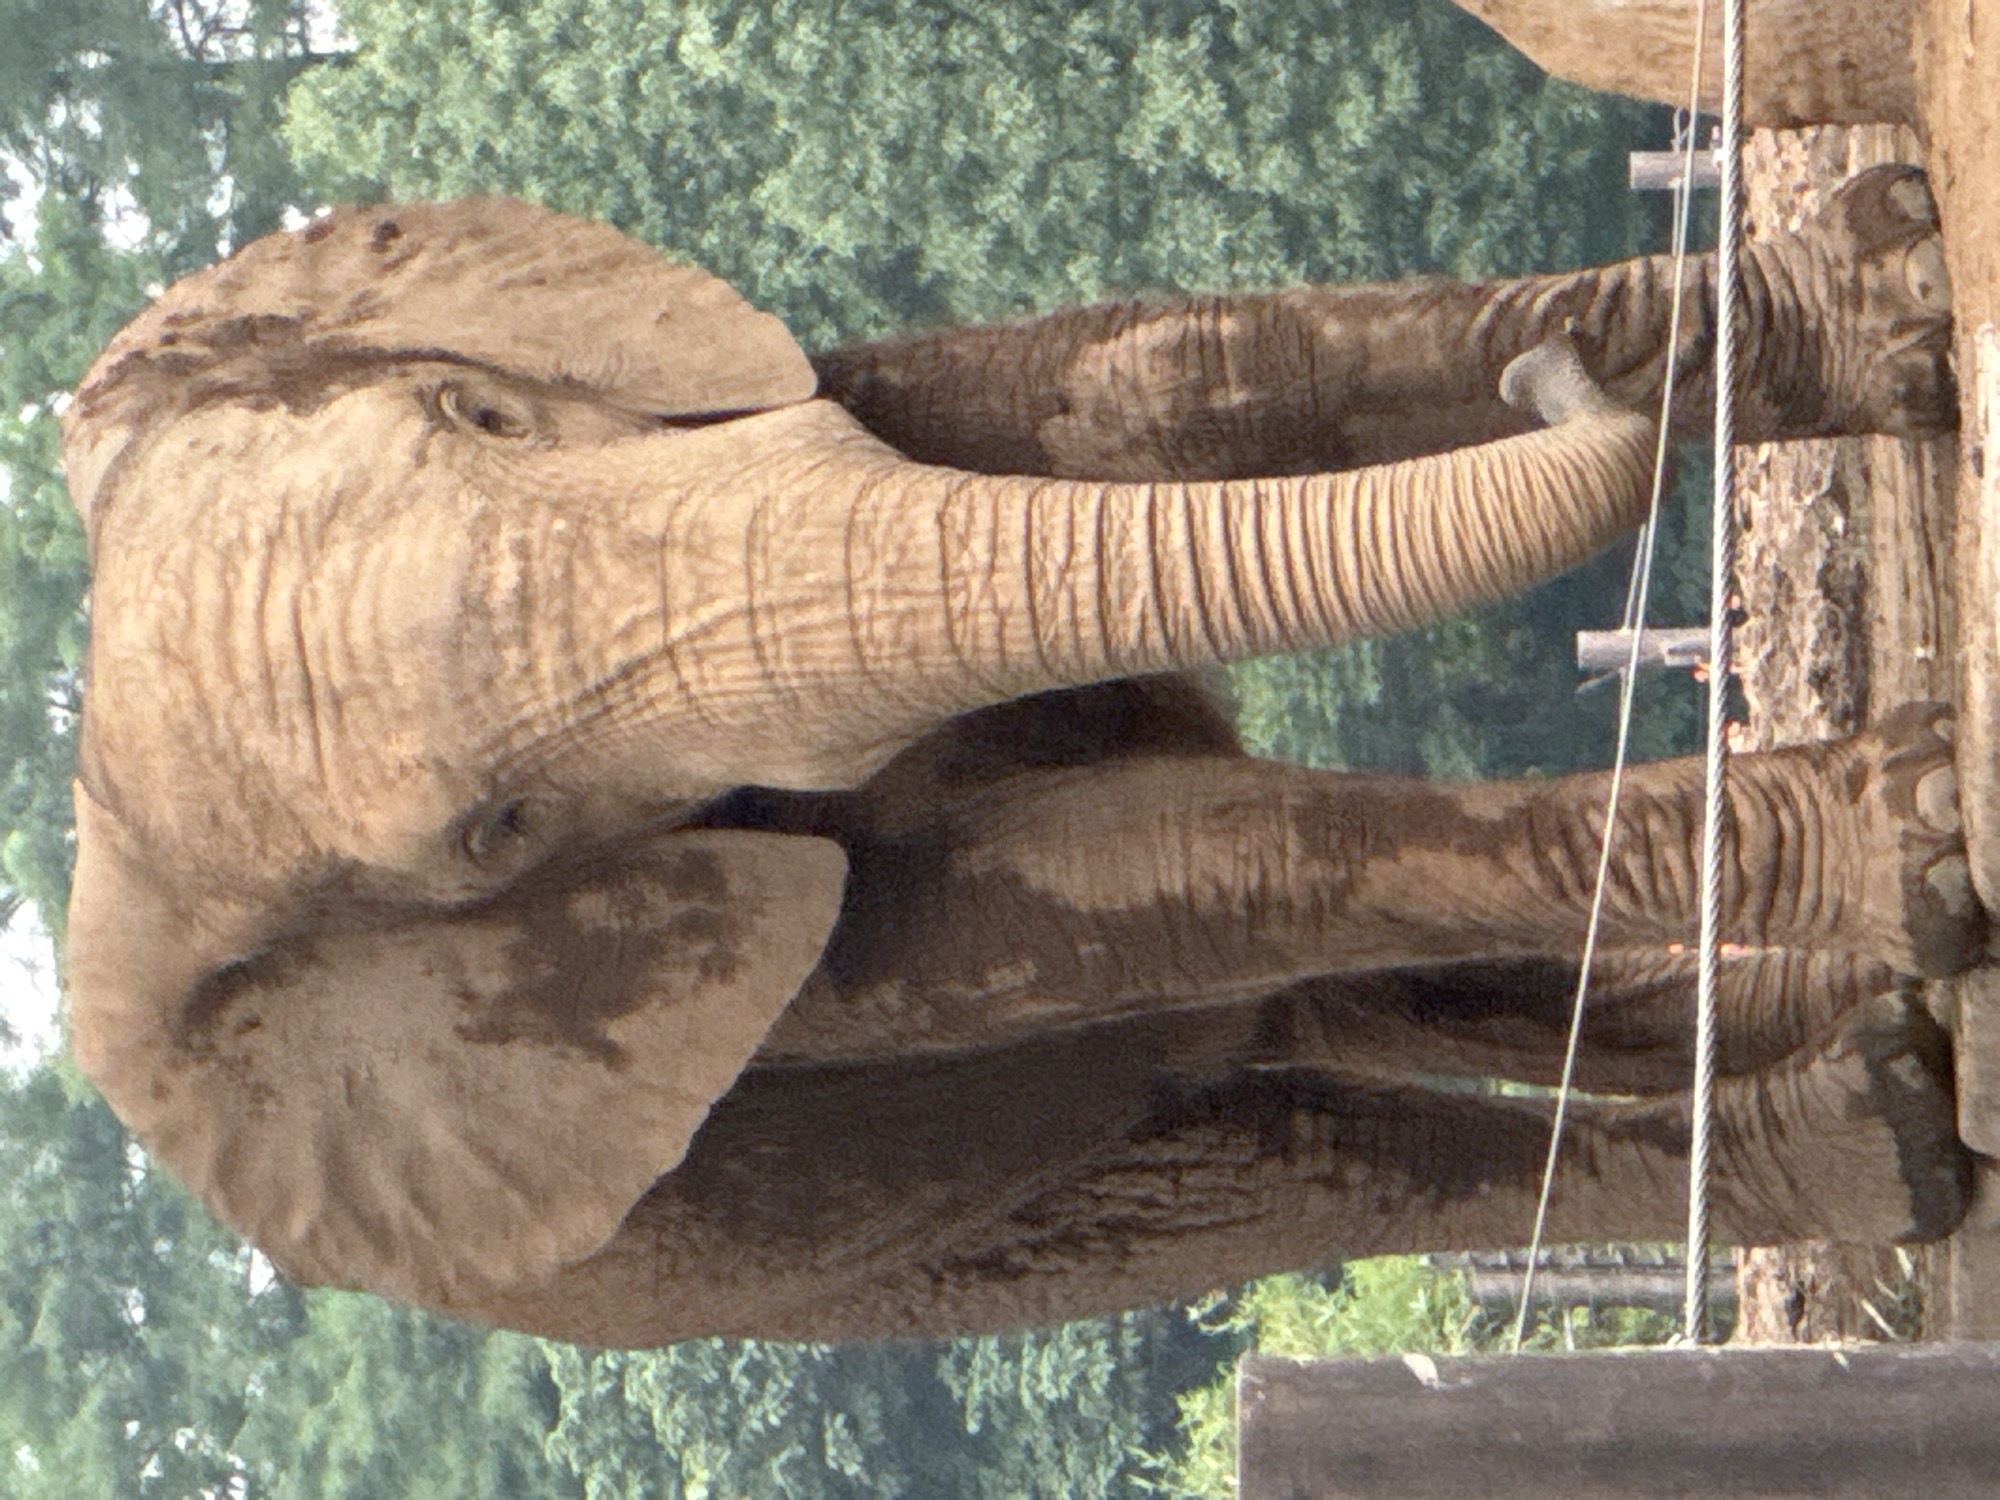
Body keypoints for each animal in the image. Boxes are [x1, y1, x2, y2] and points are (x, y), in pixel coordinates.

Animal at [62, 162, 1976, 1347]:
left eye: (485, 410)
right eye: (492, 835)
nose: (1554, 374)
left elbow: (1103, 390)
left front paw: (1888, 301)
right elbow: (1137, 861)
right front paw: (1918, 835)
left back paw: (1870, 1066)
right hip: (872, 1268)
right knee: (1286, 1173)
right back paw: (1886, 1127)